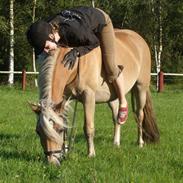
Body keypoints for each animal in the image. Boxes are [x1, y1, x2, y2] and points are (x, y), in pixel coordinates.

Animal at [29, 29, 159, 165]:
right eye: (38, 131)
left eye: (58, 130)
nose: (51, 162)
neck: (76, 64)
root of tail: (139, 39)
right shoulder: (65, 98)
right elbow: (66, 124)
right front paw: (65, 150)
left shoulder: (88, 96)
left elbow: (88, 127)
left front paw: (91, 153)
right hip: (113, 97)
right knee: (116, 118)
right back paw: (116, 143)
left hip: (140, 88)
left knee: (139, 115)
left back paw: (140, 143)